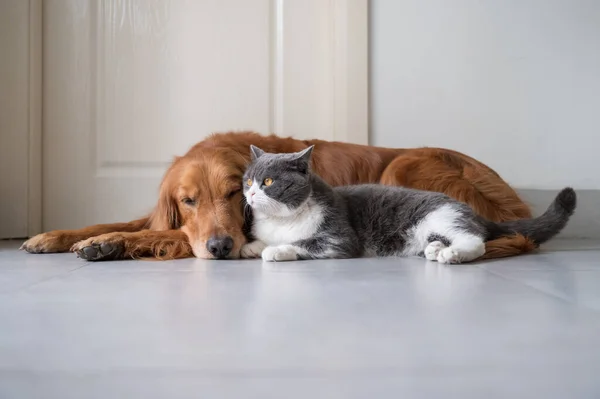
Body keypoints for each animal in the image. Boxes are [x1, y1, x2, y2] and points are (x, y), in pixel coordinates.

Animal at [21, 132, 536, 262]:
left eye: (233, 192)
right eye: (188, 201)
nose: (221, 248)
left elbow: (163, 237)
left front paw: (108, 244)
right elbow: (132, 224)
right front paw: (61, 236)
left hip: (405, 166)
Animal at [239, 145, 576, 264]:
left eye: (268, 181)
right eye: (248, 180)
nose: (251, 194)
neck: (282, 221)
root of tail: (471, 211)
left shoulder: (339, 238)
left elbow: (304, 243)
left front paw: (274, 251)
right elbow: (262, 240)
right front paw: (251, 246)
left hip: (439, 216)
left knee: (475, 240)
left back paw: (451, 254)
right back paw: (435, 249)